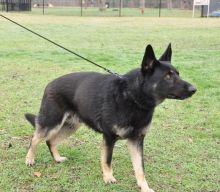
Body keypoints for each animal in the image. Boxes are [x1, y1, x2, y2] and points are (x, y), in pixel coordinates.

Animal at [24, 44, 196, 191]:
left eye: (178, 74)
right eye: (168, 76)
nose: (194, 89)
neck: (133, 97)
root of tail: (49, 84)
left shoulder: (136, 140)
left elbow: (140, 168)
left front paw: (144, 187)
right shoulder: (109, 137)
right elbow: (107, 160)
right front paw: (108, 178)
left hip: (70, 126)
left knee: (50, 141)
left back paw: (57, 158)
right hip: (51, 122)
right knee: (35, 138)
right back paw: (29, 159)